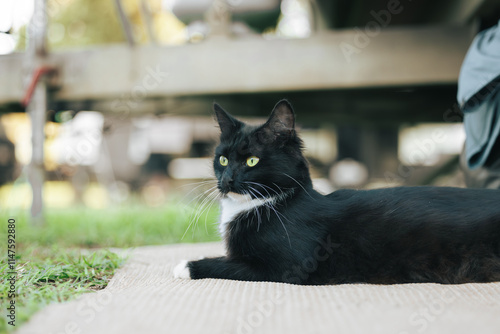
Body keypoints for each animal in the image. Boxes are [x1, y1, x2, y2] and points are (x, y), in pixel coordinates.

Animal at [173, 99, 500, 284]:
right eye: (222, 159)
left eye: (251, 160)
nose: (226, 180)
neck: (265, 204)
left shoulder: (287, 266)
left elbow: (226, 264)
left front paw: (184, 266)